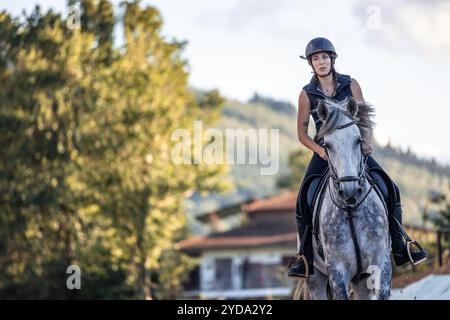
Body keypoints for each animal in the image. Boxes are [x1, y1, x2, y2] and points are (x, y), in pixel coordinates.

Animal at [300, 98, 392, 300]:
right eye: (326, 145)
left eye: (358, 140)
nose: (350, 192)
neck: (351, 210)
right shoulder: (337, 270)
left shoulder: (381, 261)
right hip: (315, 278)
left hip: (361, 280)